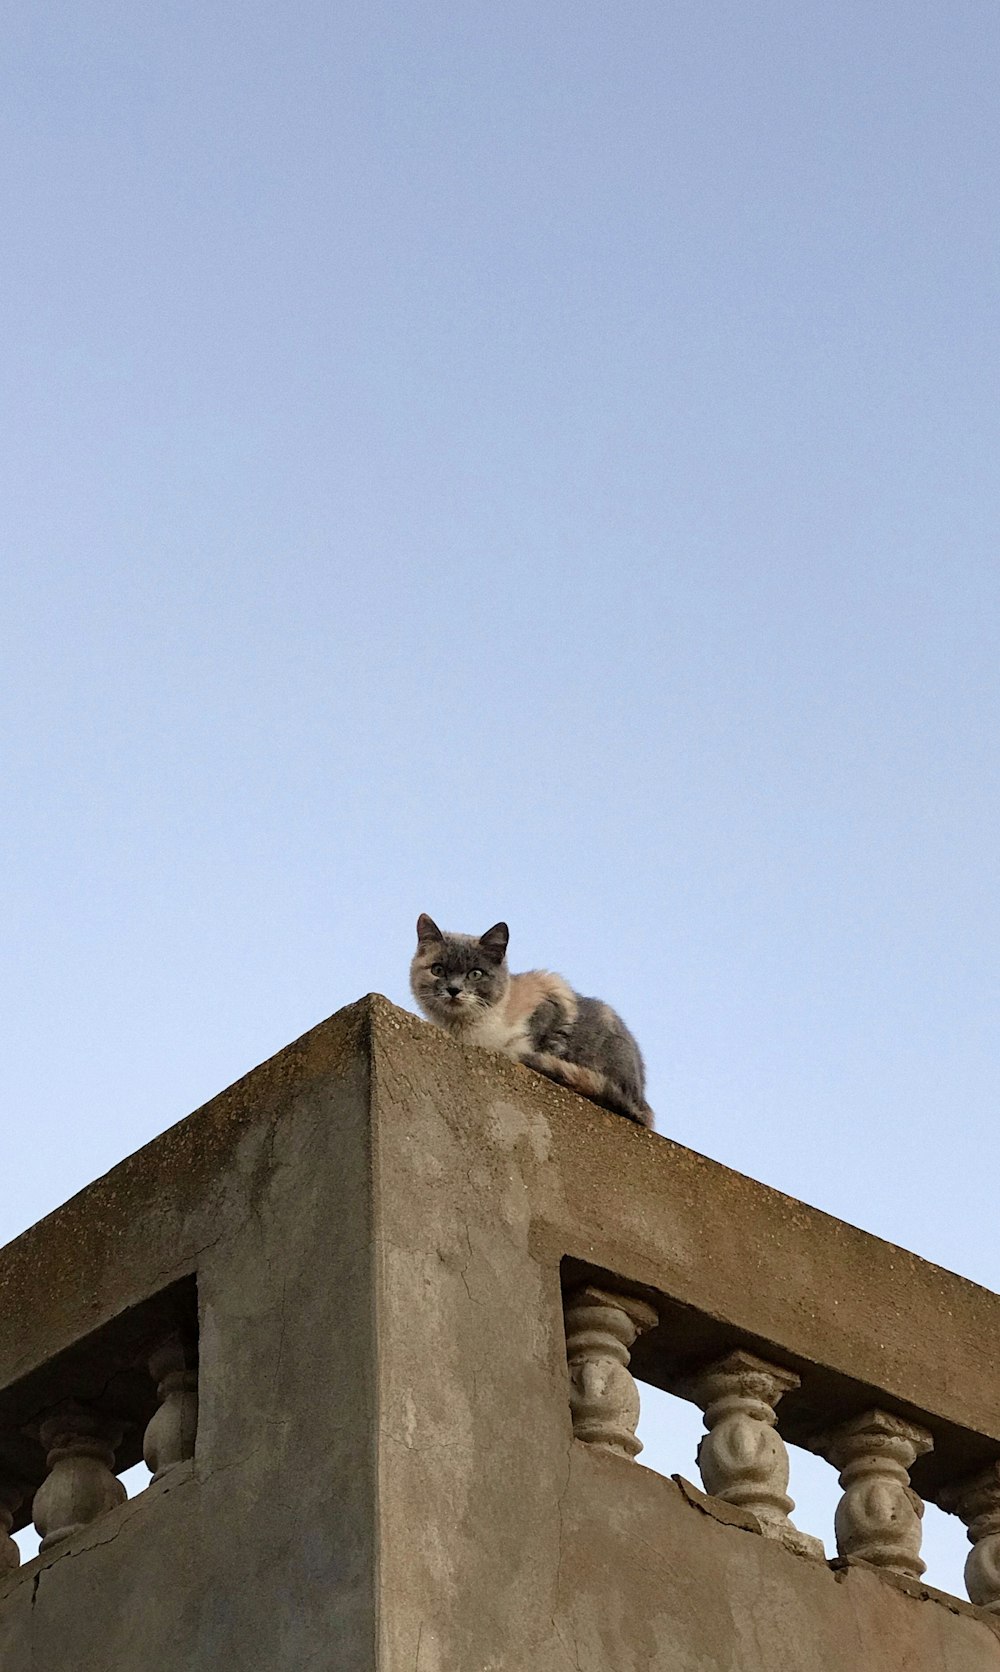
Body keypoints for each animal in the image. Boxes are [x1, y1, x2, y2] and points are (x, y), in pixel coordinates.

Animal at [411, 922, 655, 1130]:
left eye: (476, 973)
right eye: (438, 970)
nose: (454, 989)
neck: (465, 1030)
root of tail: (641, 1101)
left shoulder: (550, 997)